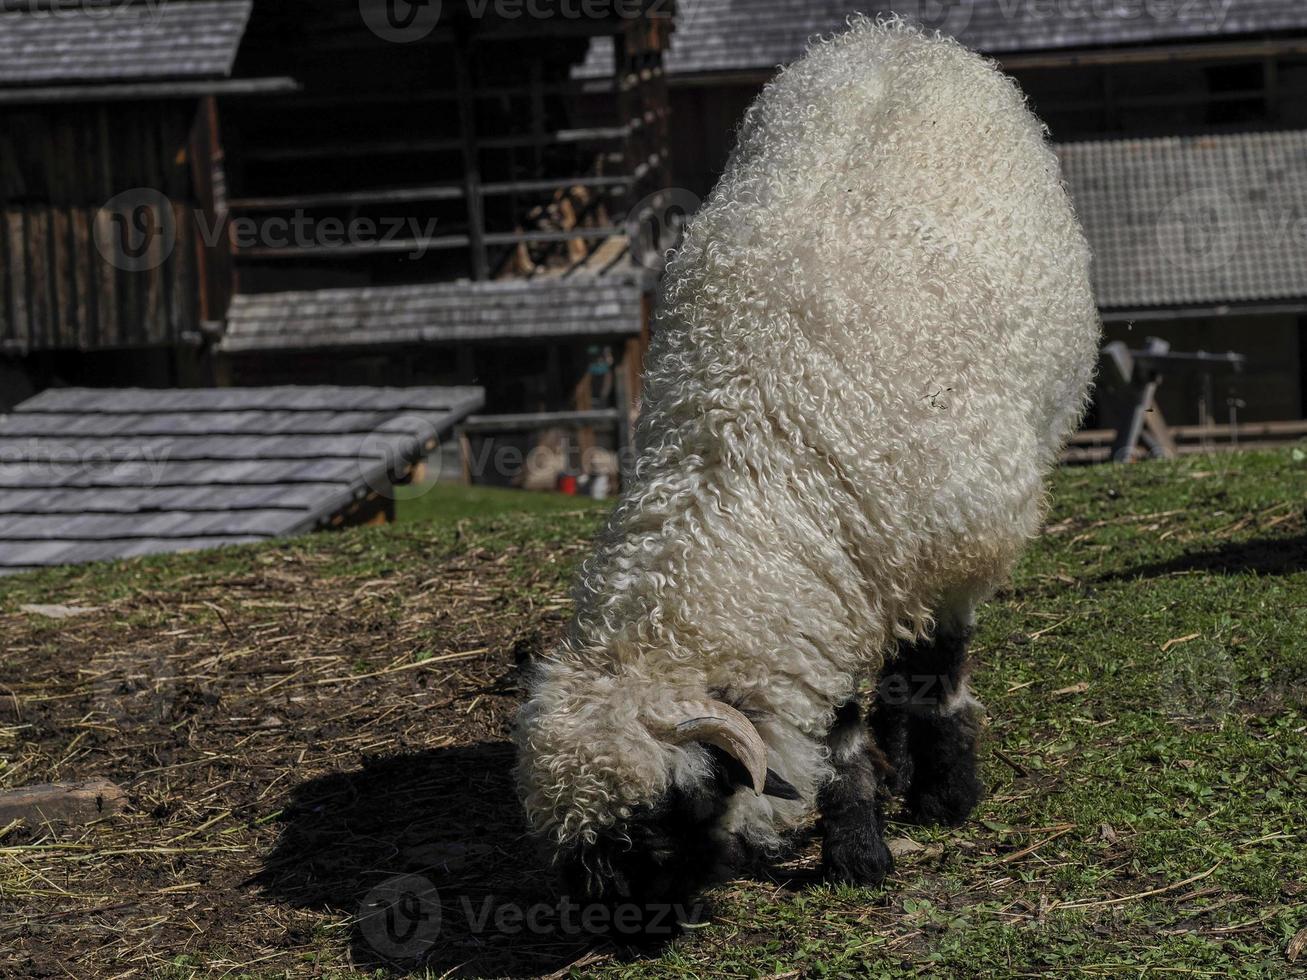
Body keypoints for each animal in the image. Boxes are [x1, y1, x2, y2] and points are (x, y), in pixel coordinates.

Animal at [514, 17, 1097, 914]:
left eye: (665, 818)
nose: (617, 921)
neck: (752, 451)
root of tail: (891, 34)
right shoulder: (831, 589)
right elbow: (839, 727)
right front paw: (861, 828)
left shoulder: (960, 547)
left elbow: (938, 674)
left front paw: (941, 798)